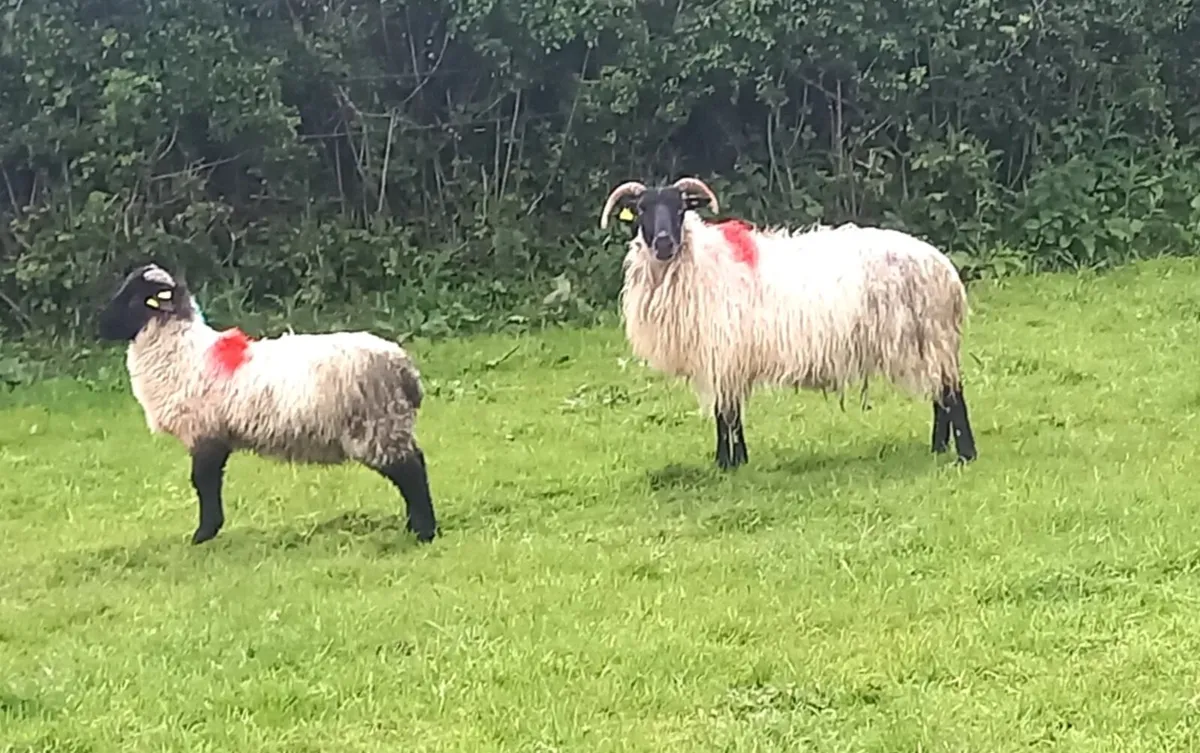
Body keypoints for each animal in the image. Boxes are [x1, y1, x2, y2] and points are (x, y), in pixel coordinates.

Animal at [96, 263, 438, 544]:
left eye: (133, 298)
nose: (99, 326)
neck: (182, 351)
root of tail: (403, 366)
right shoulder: (216, 435)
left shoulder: (204, 432)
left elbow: (203, 483)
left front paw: (203, 534)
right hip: (387, 423)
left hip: (376, 425)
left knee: (412, 470)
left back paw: (424, 532)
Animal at [598, 176, 978, 470]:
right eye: (642, 210)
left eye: (680, 209)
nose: (664, 243)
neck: (699, 264)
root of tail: (945, 269)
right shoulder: (730, 359)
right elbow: (732, 414)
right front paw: (738, 461)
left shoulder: (724, 353)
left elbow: (725, 414)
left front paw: (726, 464)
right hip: (927, 340)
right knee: (941, 396)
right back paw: (938, 447)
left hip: (933, 334)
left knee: (952, 394)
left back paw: (965, 454)